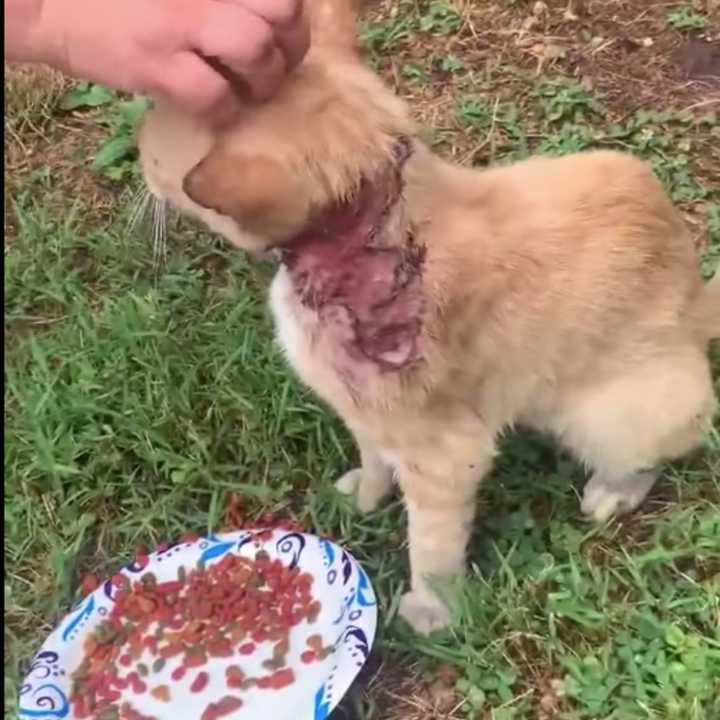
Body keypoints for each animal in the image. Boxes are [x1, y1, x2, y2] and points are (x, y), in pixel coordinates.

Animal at [138, 0, 716, 632]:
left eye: (155, 144)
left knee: (660, 449)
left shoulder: (446, 455)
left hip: (607, 414)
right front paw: (364, 496)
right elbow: (371, 457)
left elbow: (432, 547)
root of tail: (698, 304)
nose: (138, 148)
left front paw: (430, 615)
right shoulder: (364, 416)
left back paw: (614, 491)